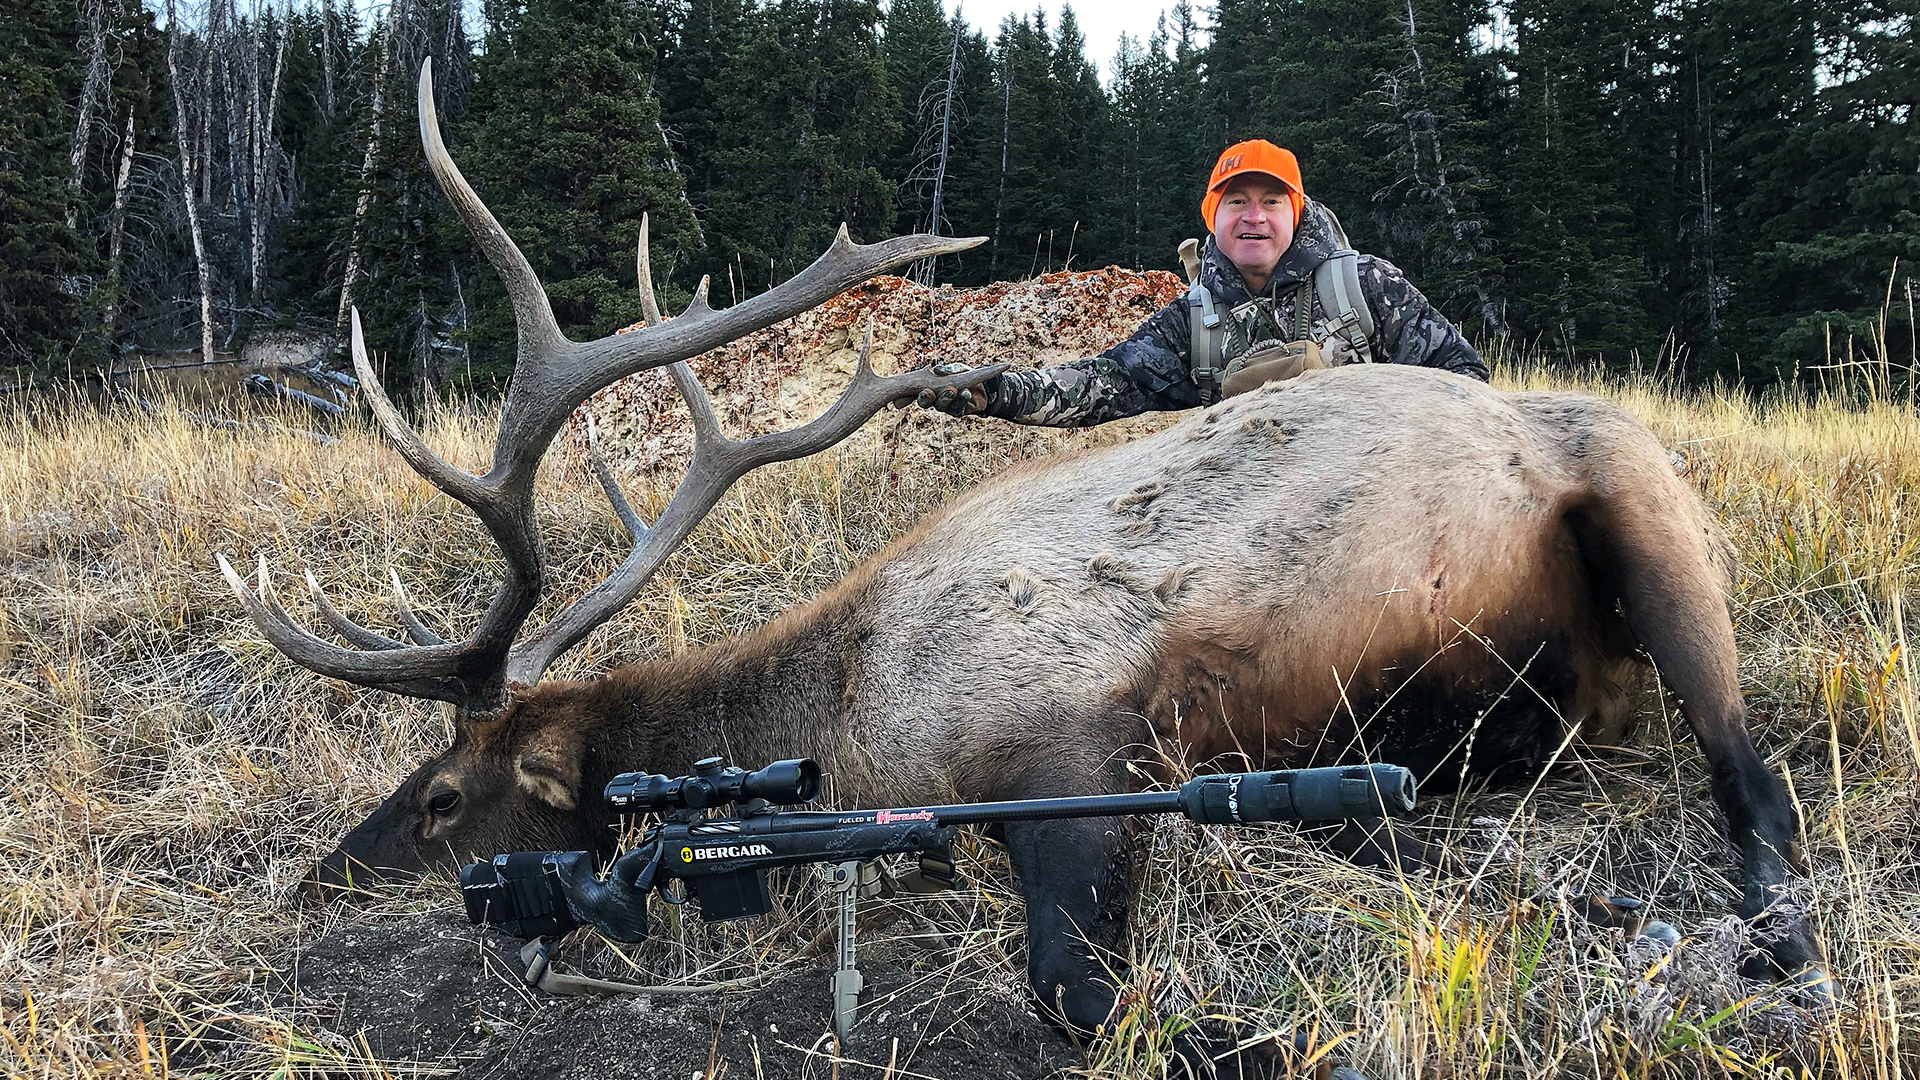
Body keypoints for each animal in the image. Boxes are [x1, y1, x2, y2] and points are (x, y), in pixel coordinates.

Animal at [223, 58, 1830, 1075]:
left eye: (442, 794)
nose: (317, 878)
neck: (844, 722)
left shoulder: (1079, 746)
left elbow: (1077, 993)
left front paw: (1248, 1041)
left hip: (1647, 515)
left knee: (1755, 779)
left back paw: (1775, 943)